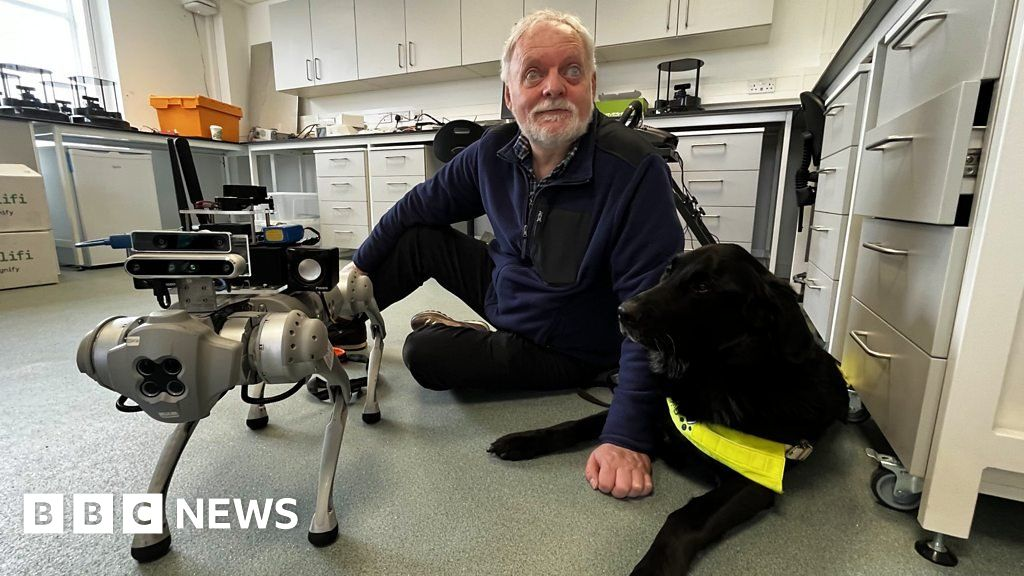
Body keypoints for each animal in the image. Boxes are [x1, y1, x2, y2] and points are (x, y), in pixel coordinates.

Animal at [487, 242, 847, 573]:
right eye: (668, 271)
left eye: (702, 287)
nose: (622, 311)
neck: (709, 378)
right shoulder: (654, 412)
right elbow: (580, 423)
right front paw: (523, 440)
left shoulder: (753, 478)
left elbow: (683, 519)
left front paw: (653, 567)